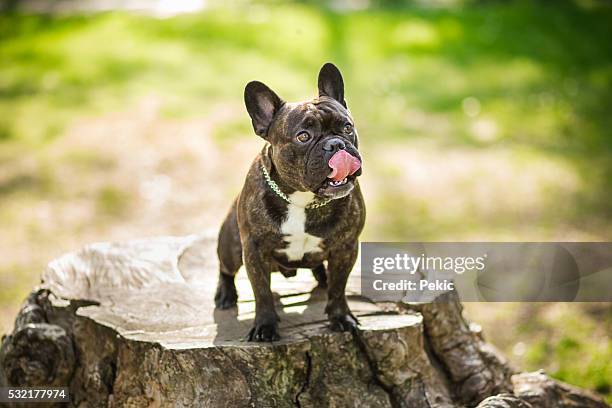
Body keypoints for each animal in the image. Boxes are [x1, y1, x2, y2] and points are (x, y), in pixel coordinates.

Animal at [216, 62, 364, 342]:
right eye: (303, 136)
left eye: (347, 127)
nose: (335, 144)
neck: (304, 200)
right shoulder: (254, 250)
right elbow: (262, 293)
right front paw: (265, 326)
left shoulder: (346, 247)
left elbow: (339, 289)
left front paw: (341, 317)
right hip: (231, 245)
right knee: (226, 268)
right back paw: (225, 294)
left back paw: (322, 276)